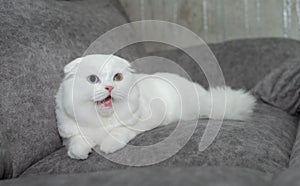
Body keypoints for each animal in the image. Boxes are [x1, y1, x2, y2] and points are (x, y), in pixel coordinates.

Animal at [55, 54, 255, 159]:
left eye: (117, 77)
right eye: (92, 79)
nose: (110, 87)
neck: (103, 119)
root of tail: (204, 95)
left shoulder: (140, 122)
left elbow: (119, 132)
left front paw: (108, 146)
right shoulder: (70, 132)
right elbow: (77, 142)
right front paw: (80, 154)